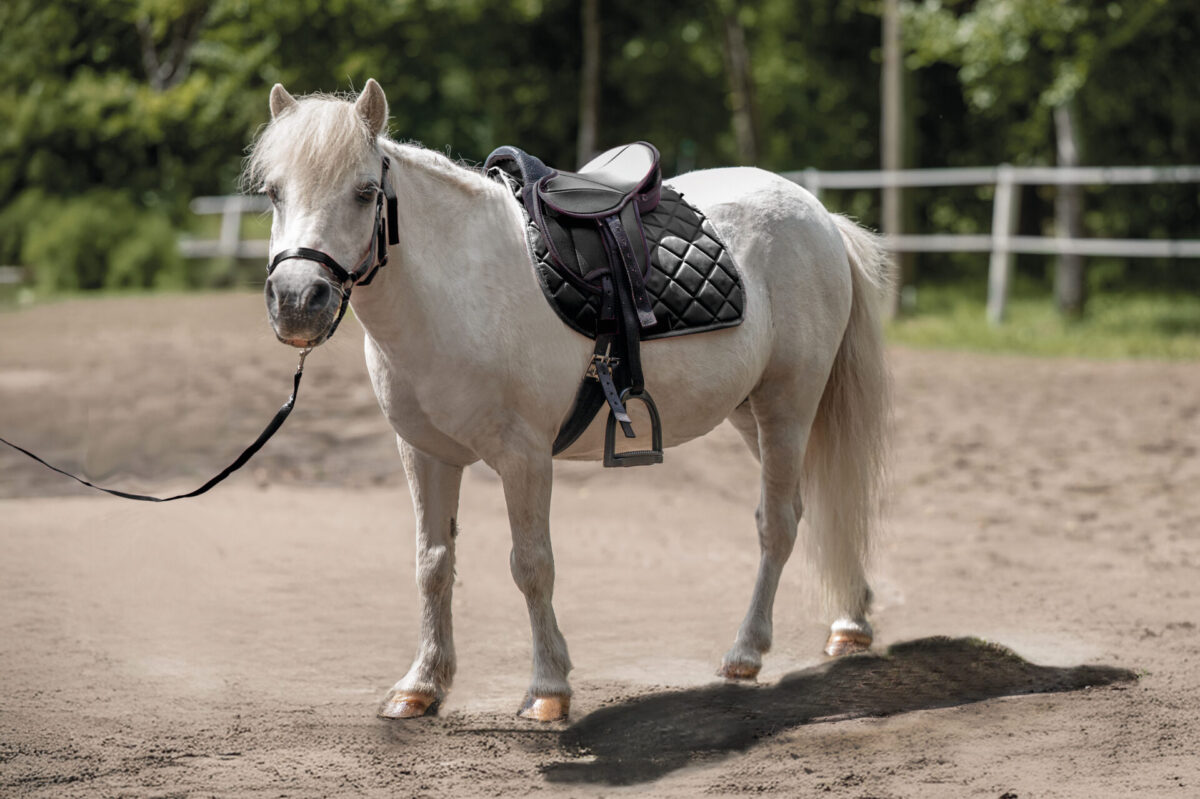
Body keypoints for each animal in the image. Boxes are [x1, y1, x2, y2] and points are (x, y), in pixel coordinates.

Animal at [250, 79, 890, 722]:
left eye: (364, 192)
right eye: (274, 193)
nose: (297, 301)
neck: (457, 290)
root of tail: (817, 214)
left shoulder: (524, 456)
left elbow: (531, 565)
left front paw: (547, 689)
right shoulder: (425, 454)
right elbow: (433, 563)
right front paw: (422, 684)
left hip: (787, 406)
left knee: (776, 523)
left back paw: (748, 652)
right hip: (751, 416)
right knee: (813, 507)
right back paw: (850, 620)